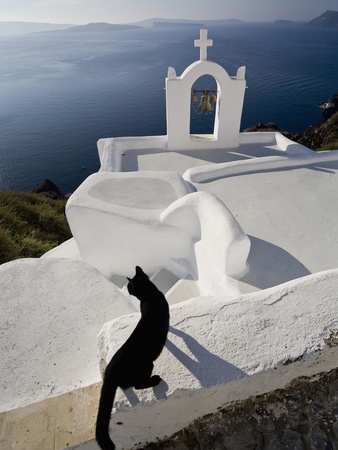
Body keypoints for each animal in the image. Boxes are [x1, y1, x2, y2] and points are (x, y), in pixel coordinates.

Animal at [95, 266, 170, 448]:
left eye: (130, 287)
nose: (129, 290)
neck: (150, 295)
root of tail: (109, 373)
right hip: (147, 364)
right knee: (137, 385)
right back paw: (155, 380)